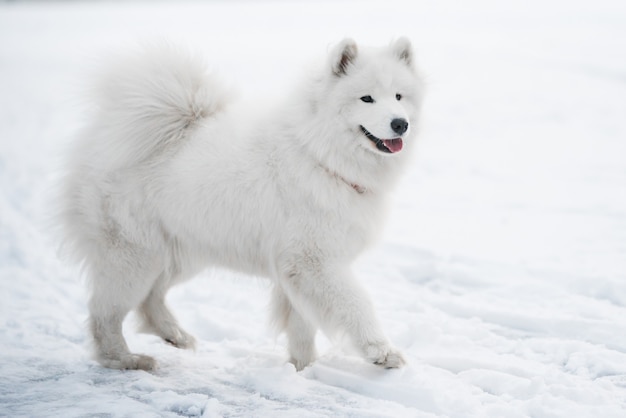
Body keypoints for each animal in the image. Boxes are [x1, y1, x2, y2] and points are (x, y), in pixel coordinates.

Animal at [59, 37, 424, 370]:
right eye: (367, 98)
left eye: (399, 96)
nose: (400, 124)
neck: (318, 153)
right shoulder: (315, 262)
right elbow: (356, 304)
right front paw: (381, 352)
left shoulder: (298, 269)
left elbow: (302, 326)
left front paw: (303, 368)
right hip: (133, 258)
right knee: (104, 315)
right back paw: (125, 360)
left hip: (179, 252)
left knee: (151, 299)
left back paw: (175, 335)